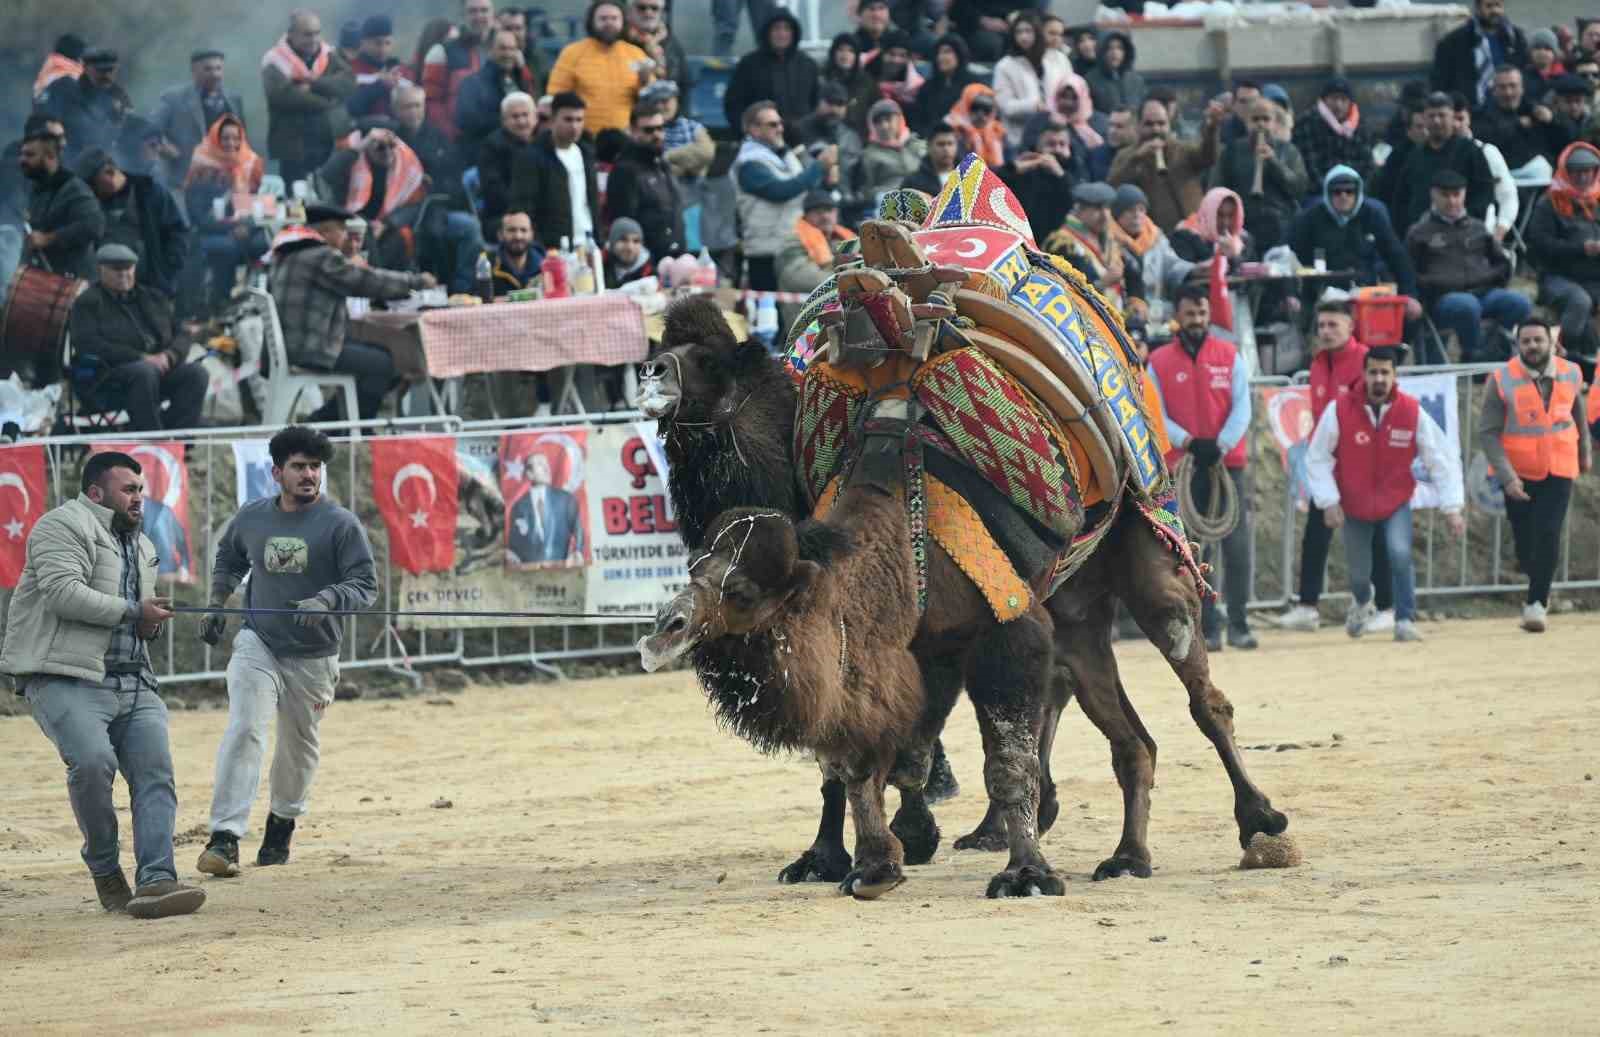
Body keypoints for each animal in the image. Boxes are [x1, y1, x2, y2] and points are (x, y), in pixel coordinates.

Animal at [640, 297, 1286, 889]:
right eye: (695, 565)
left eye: (705, 360)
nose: (648, 372)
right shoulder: (914, 645)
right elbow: (868, 757)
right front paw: (858, 858)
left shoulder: (1002, 628)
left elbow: (997, 759)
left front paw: (1022, 870)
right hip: (1076, 613)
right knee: (1129, 737)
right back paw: (1127, 856)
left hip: (1147, 551)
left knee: (1201, 694)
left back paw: (1261, 823)